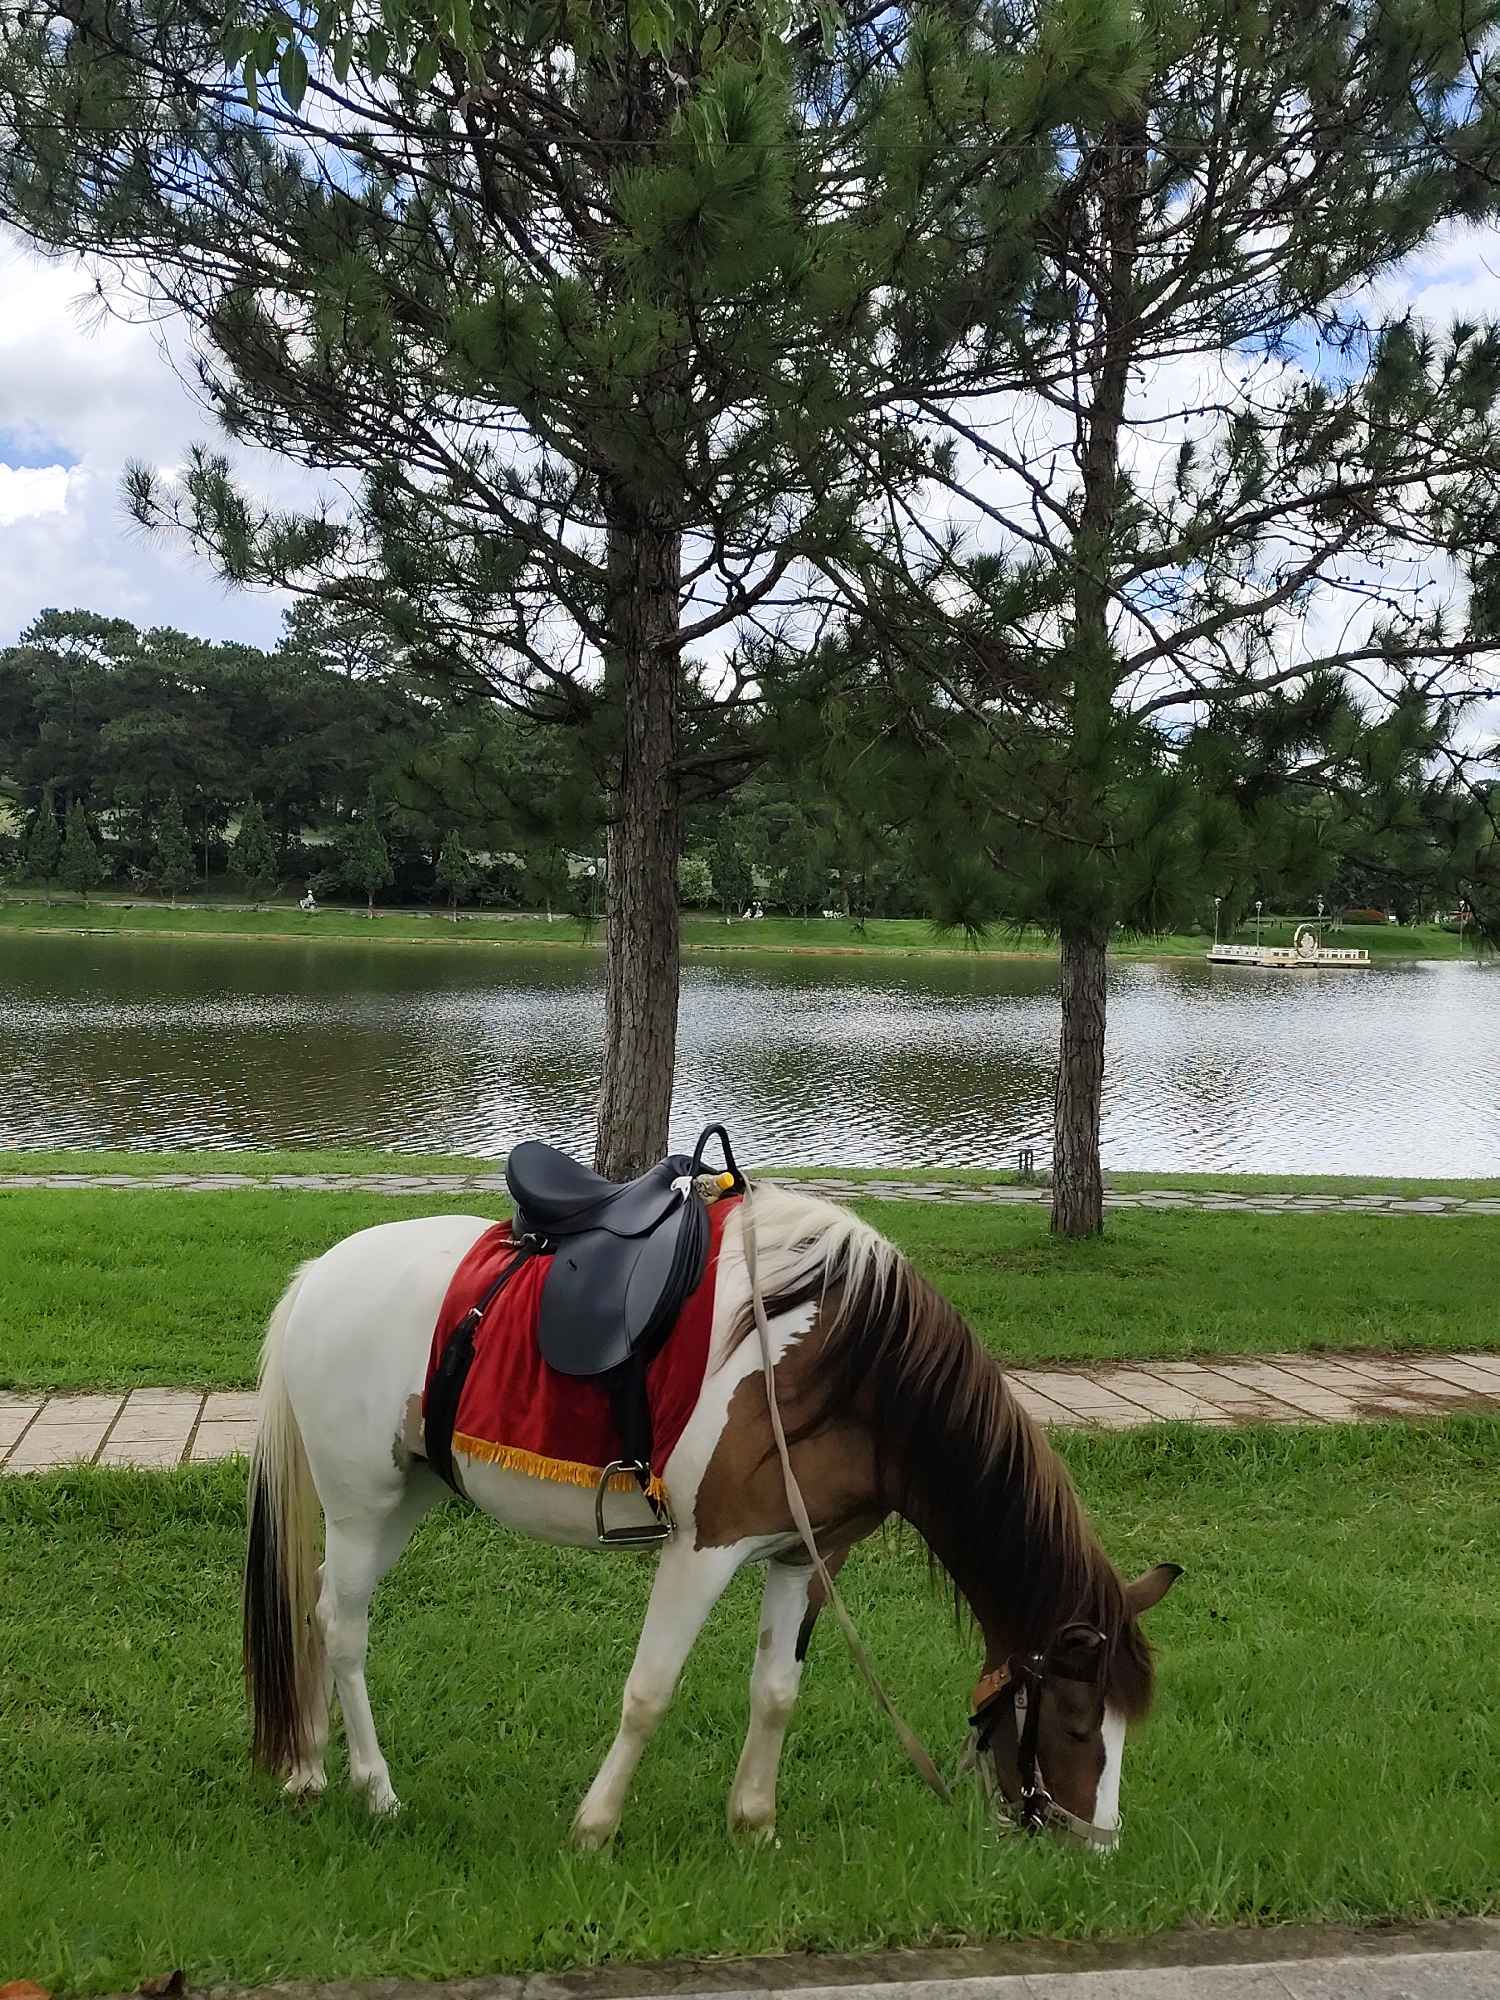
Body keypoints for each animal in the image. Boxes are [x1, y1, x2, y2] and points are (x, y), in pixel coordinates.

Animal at [243, 1181, 1180, 1846]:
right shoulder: (704, 1551)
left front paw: (753, 1824)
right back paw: (373, 1789)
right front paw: (594, 1829)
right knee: (345, 1627)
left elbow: (776, 1691)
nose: (1096, 1844)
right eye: (1075, 1721)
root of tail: (319, 1276)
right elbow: (649, 1692)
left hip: (410, 1493)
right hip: (362, 1503)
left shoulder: (805, 1556)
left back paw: (309, 1769)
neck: (848, 1372)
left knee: (320, 1605)